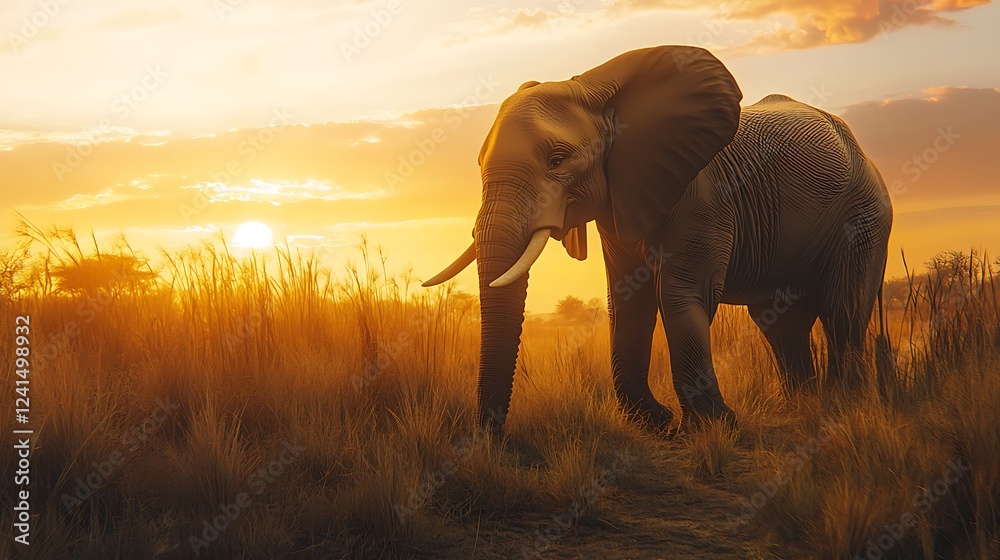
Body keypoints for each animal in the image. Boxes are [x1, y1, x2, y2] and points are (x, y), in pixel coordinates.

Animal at [423, 45, 893, 434]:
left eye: (558, 160)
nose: (492, 438)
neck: (597, 88)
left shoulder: (700, 195)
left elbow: (681, 294)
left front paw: (713, 428)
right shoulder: (618, 204)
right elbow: (627, 299)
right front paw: (655, 423)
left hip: (864, 218)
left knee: (843, 310)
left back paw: (841, 407)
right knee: (782, 321)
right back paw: (803, 404)